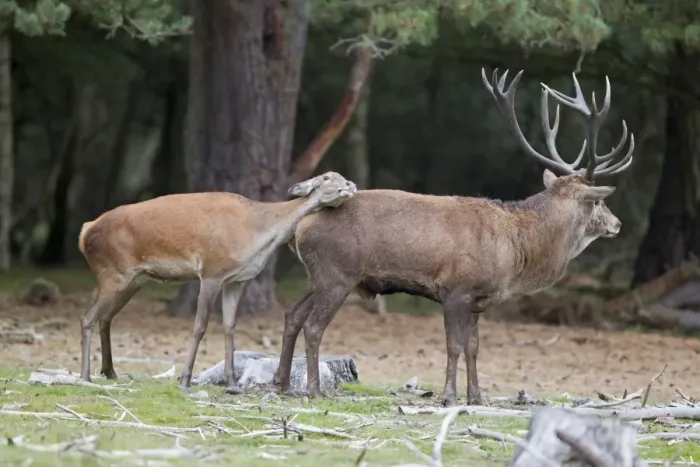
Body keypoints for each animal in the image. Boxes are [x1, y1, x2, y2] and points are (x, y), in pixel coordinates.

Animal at [77, 171, 357, 395]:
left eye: (341, 175)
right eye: (327, 177)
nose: (350, 185)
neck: (256, 235)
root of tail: (85, 232)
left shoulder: (237, 280)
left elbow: (229, 327)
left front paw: (232, 384)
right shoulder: (211, 272)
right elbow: (200, 326)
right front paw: (185, 382)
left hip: (134, 279)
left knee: (105, 317)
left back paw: (109, 371)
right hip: (113, 272)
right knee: (87, 317)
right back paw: (85, 376)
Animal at [272, 68, 635, 406]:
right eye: (598, 201)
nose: (617, 224)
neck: (516, 249)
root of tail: (299, 227)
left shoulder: (477, 300)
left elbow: (474, 347)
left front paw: (476, 397)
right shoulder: (455, 290)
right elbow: (454, 345)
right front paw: (448, 396)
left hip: (318, 276)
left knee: (292, 315)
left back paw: (283, 384)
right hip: (337, 274)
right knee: (313, 325)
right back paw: (314, 390)